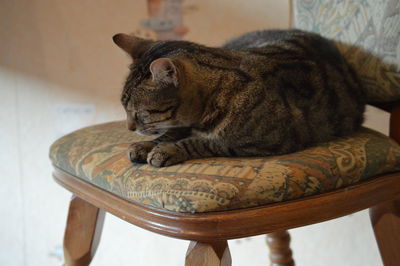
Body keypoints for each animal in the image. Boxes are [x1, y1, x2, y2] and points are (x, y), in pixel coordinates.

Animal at [112, 29, 366, 166]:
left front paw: (167, 150)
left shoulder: (264, 141)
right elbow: (169, 133)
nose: (129, 127)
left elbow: (200, 142)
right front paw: (146, 145)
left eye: (140, 113)